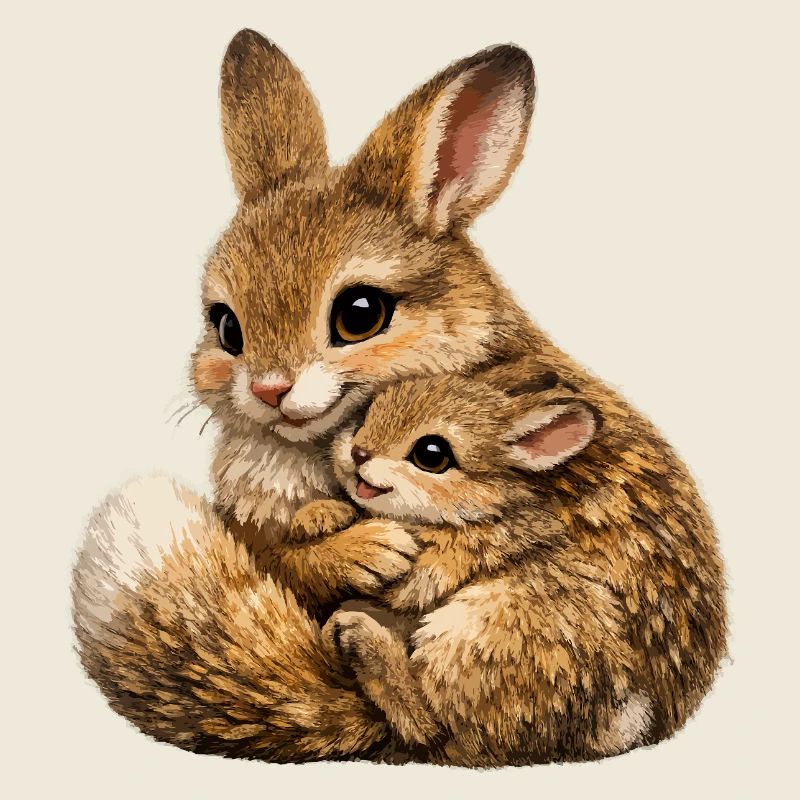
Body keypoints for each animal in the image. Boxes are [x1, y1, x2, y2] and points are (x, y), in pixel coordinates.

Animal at [71, 29, 726, 764]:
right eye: (226, 326)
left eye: (360, 314)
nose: (270, 388)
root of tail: (638, 720)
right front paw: (347, 539)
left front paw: (373, 551)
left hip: (499, 621)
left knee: (433, 725)